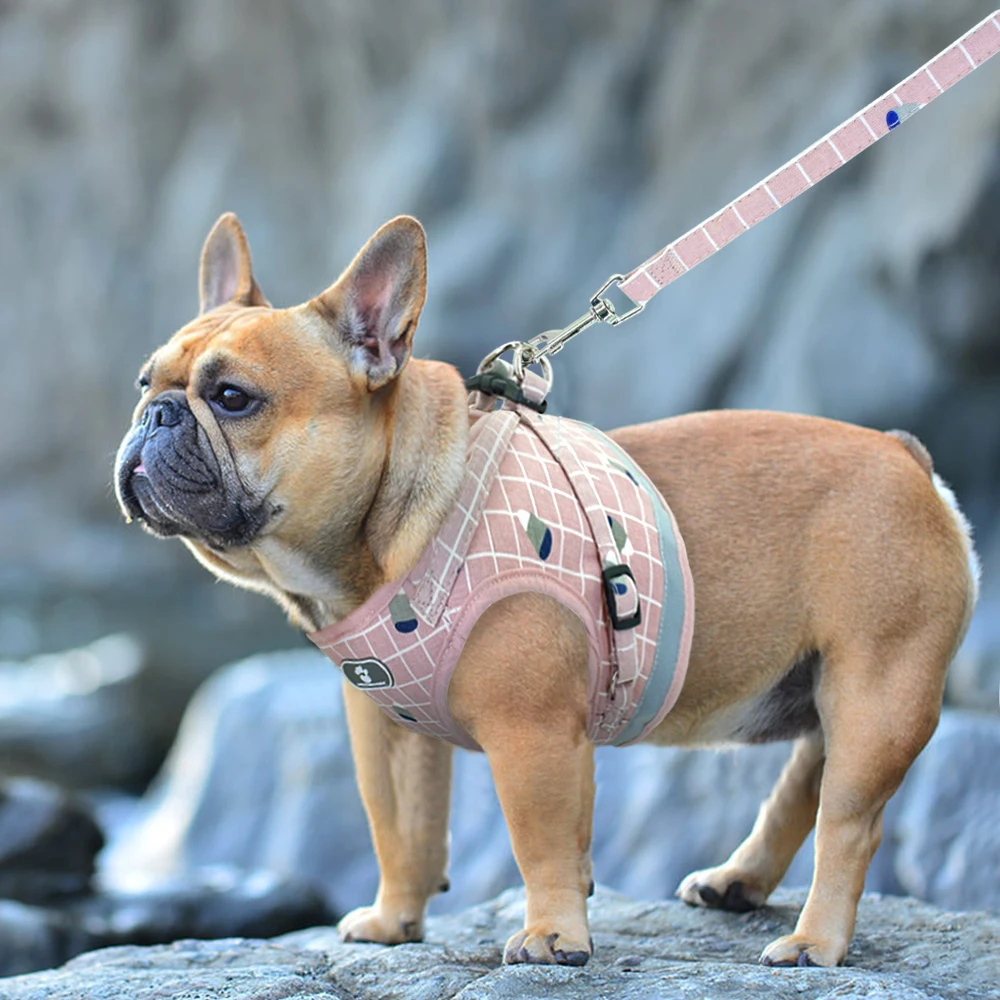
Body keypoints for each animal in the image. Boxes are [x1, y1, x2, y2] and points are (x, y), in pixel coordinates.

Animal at [115, 211, 976, 968]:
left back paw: (813, 941)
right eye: (144, 382)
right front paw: (395, 921)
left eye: (233, 398)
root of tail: (907, 458)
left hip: (877, 691)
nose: (155, 417)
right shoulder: (389, 731)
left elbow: (541, 838)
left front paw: (554, 936)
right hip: (822, 688)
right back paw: (739, 881)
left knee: (850, 822)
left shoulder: (530, 732)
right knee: (806, 783)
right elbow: (402, 830)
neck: (395, 532)